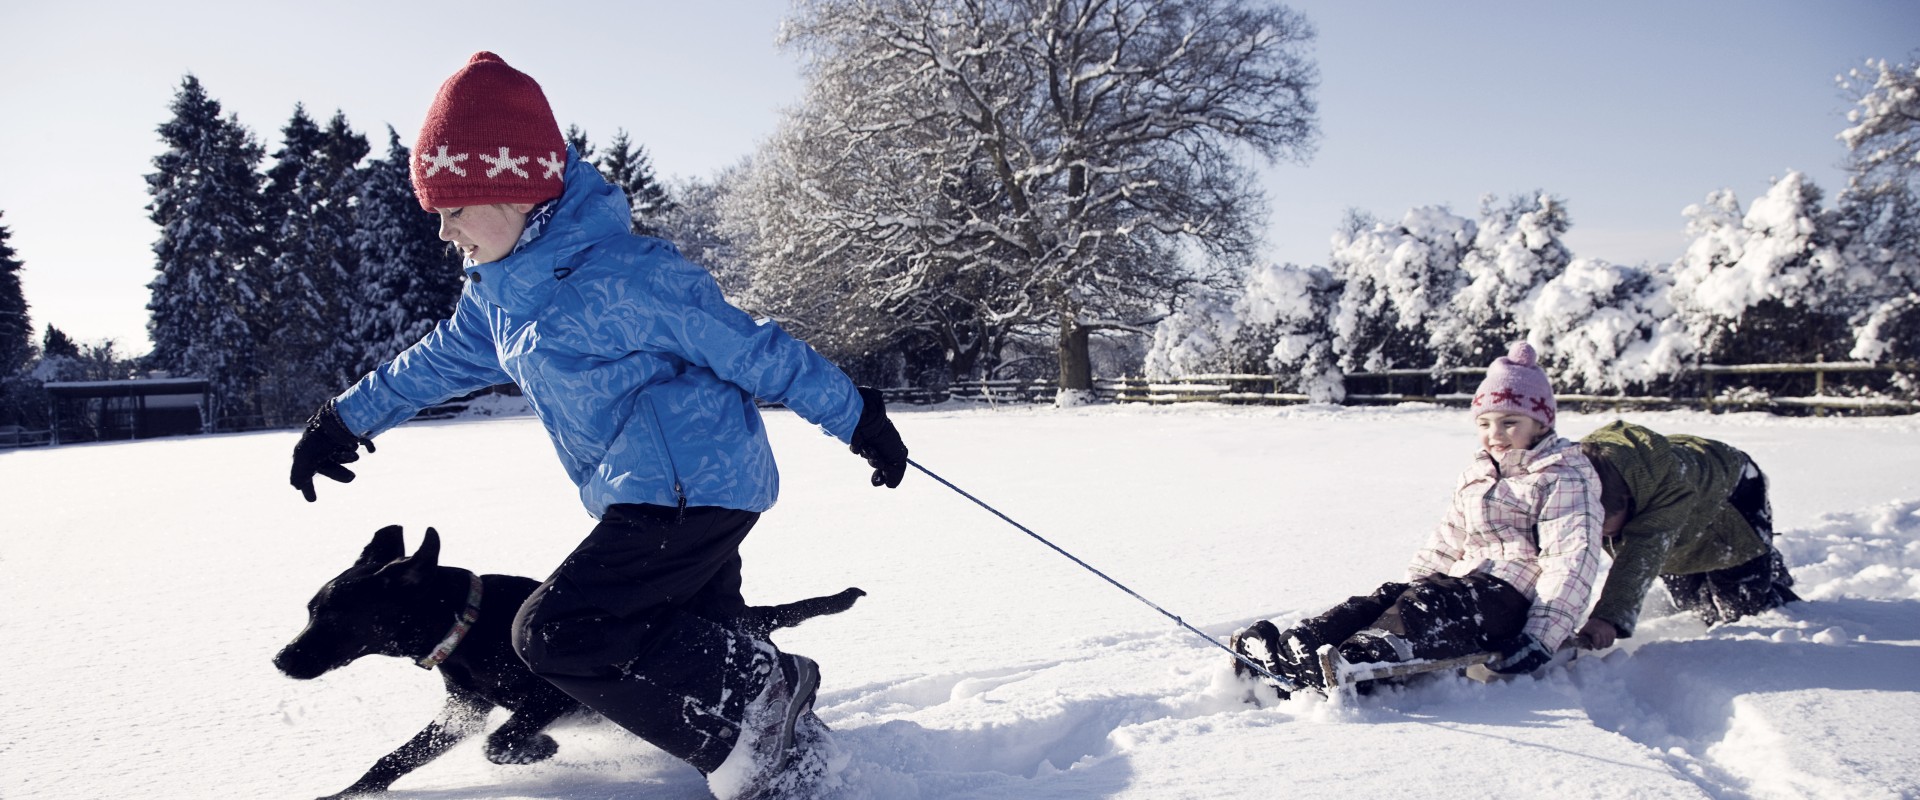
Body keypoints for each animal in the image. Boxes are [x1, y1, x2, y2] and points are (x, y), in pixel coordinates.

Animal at [278, 521, 864, 798]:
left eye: (335, 618)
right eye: (310, 610)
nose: (281, 660)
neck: (469, 626)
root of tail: (742, 615)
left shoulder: (545, 696)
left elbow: (500, 742)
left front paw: (539, 750)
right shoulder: (461, 711)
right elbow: (393, 760)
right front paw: (342, 794)